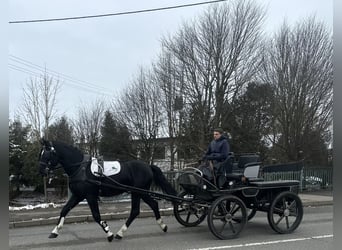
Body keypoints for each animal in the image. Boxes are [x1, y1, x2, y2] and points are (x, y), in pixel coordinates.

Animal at [38, 140, 178, 241]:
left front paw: (108, 233)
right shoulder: (78, 195)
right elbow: (64, 210)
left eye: (47, 154)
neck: (80, 168)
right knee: (150, 205)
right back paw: (162, 226)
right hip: (139, 192)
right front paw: (54, 231)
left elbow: (96, 215)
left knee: (137, 210)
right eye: (41, 153)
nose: (41, 171)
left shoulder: (90, 196)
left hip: (138, 192)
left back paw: (120, 233)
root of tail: (148, 166)